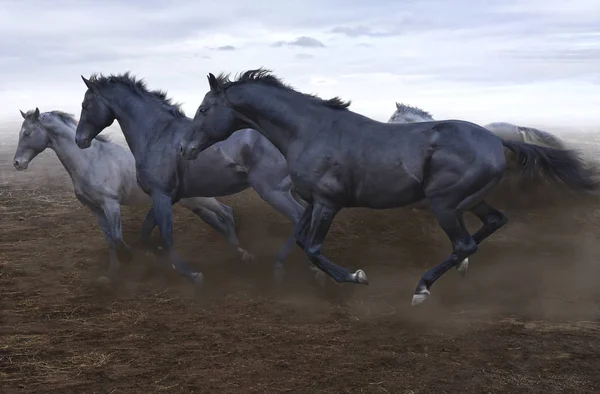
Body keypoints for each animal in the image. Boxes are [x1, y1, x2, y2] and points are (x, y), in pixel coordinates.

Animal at [12, 107, 251, 284]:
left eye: (27, 133)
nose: (17, 163)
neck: (90, 160)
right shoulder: (95, 208)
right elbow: (109, 240)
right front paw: (111, 274)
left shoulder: (111, 204)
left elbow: (118, 238)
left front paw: (136, 257)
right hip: (192, 202)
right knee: (215, 219)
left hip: (199, 198)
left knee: (226, 212)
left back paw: (240, 252)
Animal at [74, 71, 324, 286]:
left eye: (85, 105)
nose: (79, 140)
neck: (157, 134)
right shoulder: (168, 196)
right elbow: (146, 232)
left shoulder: (161, 195)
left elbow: (165, 234)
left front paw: (191, 274)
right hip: (289, 190)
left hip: (272, 190)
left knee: (298, 217)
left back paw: (291, 267)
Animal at [178, 69, 596, 306]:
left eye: (203, 109)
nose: (184, 148)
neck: (310, 130)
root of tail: (498, 140)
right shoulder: (312, 200)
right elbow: (299, 238)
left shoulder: (329, 202)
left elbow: (313, 247)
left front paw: (355, 277)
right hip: (466, 200)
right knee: (494, 222)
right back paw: (454, 272)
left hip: (444, 202)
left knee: (466, 242)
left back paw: (422, 288)